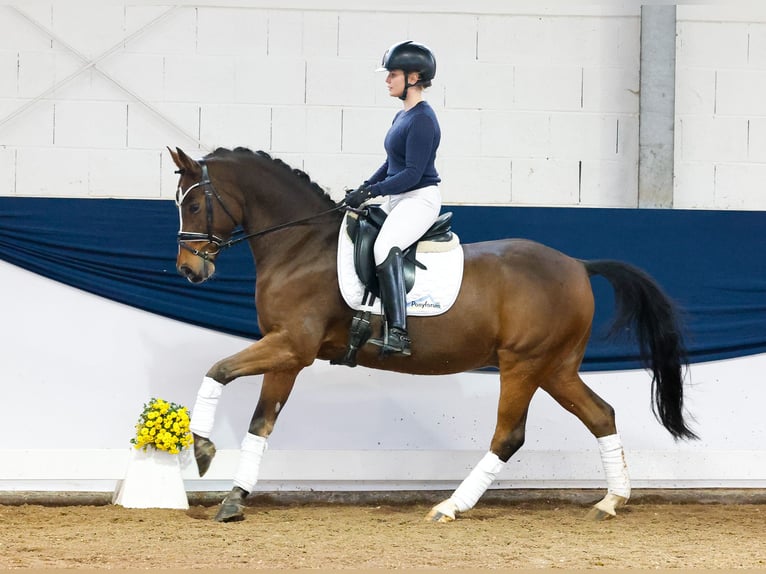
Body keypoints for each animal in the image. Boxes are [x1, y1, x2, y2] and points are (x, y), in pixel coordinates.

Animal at [171, 146, 700, 524]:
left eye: (194, 203)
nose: (189, 270)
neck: (300, 246)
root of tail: (577, 264)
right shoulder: (286, 352)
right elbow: (261, 423)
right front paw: (235, 497)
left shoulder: (290, 347)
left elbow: (217, 372)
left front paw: (202, 450)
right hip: (555, 367)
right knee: (601, 414)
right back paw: (611, 501)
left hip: (523, 364)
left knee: (509, 435)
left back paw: (450, 506)